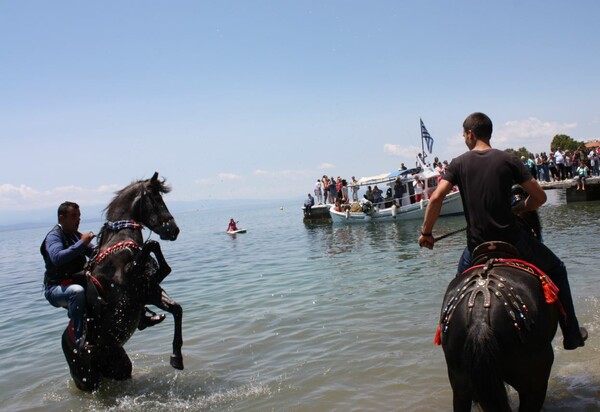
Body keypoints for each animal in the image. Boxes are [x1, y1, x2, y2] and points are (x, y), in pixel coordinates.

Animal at [61, 172, 184, 392]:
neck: (119, 240)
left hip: (119, 365)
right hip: (88, 380)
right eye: (156, 198)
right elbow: (152, 244)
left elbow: (176, 308)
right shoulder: (129, 282)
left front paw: (177, 357)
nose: (173, 230)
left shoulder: (147, 291)